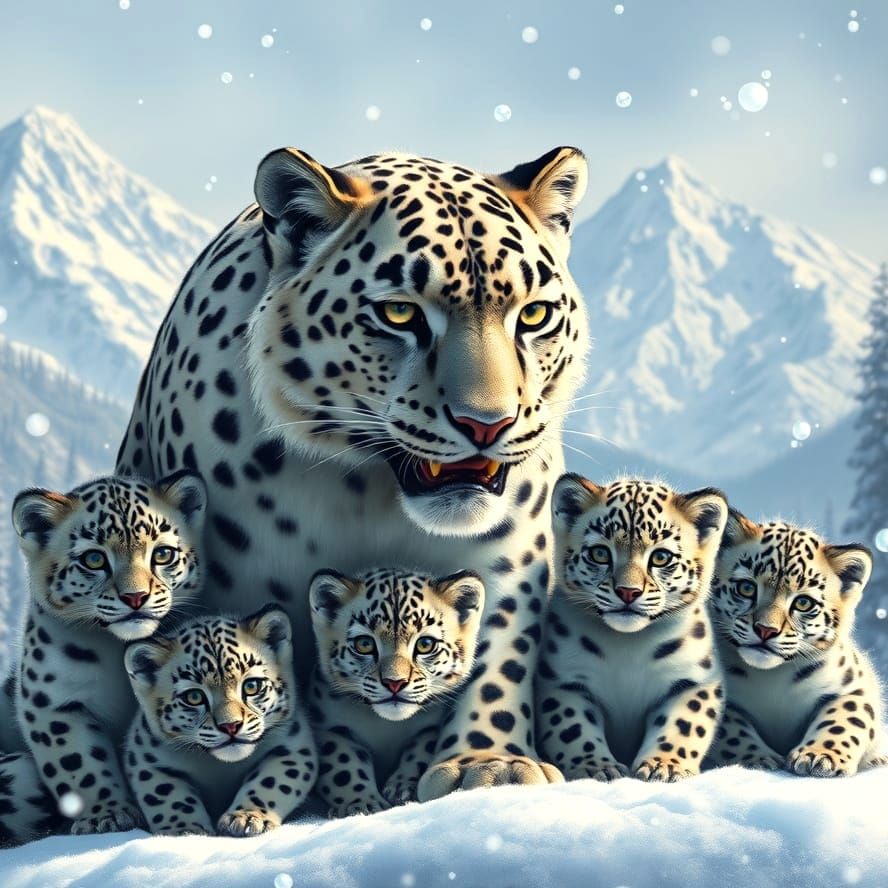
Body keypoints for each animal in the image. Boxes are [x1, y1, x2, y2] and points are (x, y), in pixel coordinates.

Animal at [7, 470, 206, 835]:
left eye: (163, 554)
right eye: (94, 558)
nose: (136, 597)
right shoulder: (52, 701)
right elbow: (78, 763)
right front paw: (107, 816)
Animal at [123, 607, 317, 836]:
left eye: (252, 686)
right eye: (194, 697)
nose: (230, 726)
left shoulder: (292, 743)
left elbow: (271, 781)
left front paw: (247, 817)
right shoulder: (146, 759)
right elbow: (169, 798)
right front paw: (185, 830)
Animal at [307, 567, 485, 816]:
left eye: (425, 644)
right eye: (364, 644)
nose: (394, 683)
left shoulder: (431, 726)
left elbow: (420, 750)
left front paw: (402, 789)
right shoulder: (328, 728)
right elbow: (343, 763)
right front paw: (361, 804)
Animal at [536, 474, 728, 782]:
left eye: (661, 557)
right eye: (600, 553)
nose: (628, 592)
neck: (627, 646)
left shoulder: (693, 681)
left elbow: (683, 725)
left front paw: (665, 766)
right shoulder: (564, 681)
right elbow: (572, 728)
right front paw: (596, 766)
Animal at [708, 511, 886, 777]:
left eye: (803, 603)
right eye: (746, 587)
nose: (766, 630)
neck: (771, 678)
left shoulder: (855, 687)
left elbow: (844, 719)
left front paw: (819, 757)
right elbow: (730, 731)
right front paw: (757, 759)